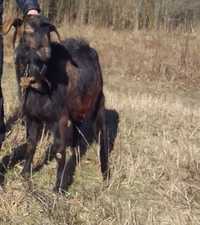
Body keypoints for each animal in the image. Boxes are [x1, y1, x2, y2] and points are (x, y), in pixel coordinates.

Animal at [0, 15, 109, 192]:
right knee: (76, 138)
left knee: (103, 137)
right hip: (77, 111)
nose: (46, 53)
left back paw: (106, 178)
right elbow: (31, 144)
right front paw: (25, 174)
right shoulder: (32, 116)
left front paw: (58, 188)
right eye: (27, 30)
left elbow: (59, 153)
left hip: (98, 105)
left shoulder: (61, 119)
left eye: (48, 32)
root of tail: (87, 46)